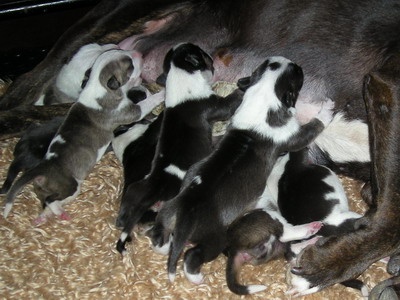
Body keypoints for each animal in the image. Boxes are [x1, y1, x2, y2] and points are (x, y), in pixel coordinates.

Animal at [2, 48, 162, 223]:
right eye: (130, 65)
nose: (139, 53)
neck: (98, 87)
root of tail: (43, 168)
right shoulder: (130, 112)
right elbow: (146, 105)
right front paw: (163, 93)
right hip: (71, 186)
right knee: (51, 199)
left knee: (46, 199)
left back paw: (45, 216)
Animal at [114, 42, 242, 253]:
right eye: (202, 53)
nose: (212, 58)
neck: (179, 74)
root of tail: (155, 188)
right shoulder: (216, 105)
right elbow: (230, 102)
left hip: (133, 190)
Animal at [148, 56, 332, 286]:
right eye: (297, 74)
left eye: (269, 63)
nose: (297, 64)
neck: (263, 94)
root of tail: (185, 211)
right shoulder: (294, 136)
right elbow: (314, 126)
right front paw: (327, 109)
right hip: (217, 237)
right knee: (193, 256)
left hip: (166, 216)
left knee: (159, 238)